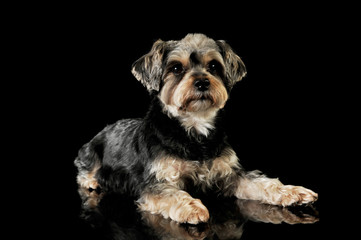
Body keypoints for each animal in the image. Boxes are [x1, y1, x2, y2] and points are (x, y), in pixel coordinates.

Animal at [74, 32, 316, 224]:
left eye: (213, 66)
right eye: (176, 68)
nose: (202, 82)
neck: (194, 129)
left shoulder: (230, 174)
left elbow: (262, 183)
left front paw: (292, 191)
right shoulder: (156, 181)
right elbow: (171, 194)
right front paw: (191, 208)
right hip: (89, 153)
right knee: (85, 171)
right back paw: (92, 180)